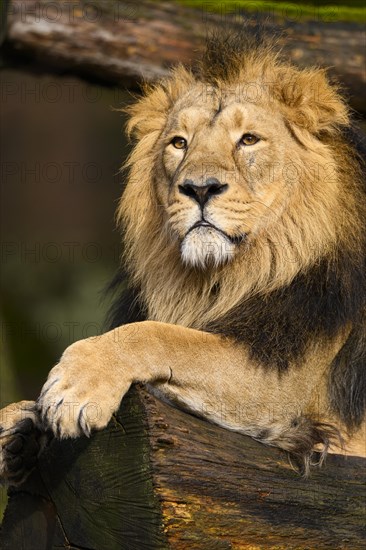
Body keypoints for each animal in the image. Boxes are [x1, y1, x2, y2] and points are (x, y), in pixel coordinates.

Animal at [0, 32, 366, 486]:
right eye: (180, 143)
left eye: (249, 139)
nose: (200, 188)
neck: (216, 280)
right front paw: (17, 425)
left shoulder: (283, 388)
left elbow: (163, 335)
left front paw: (75, 388)